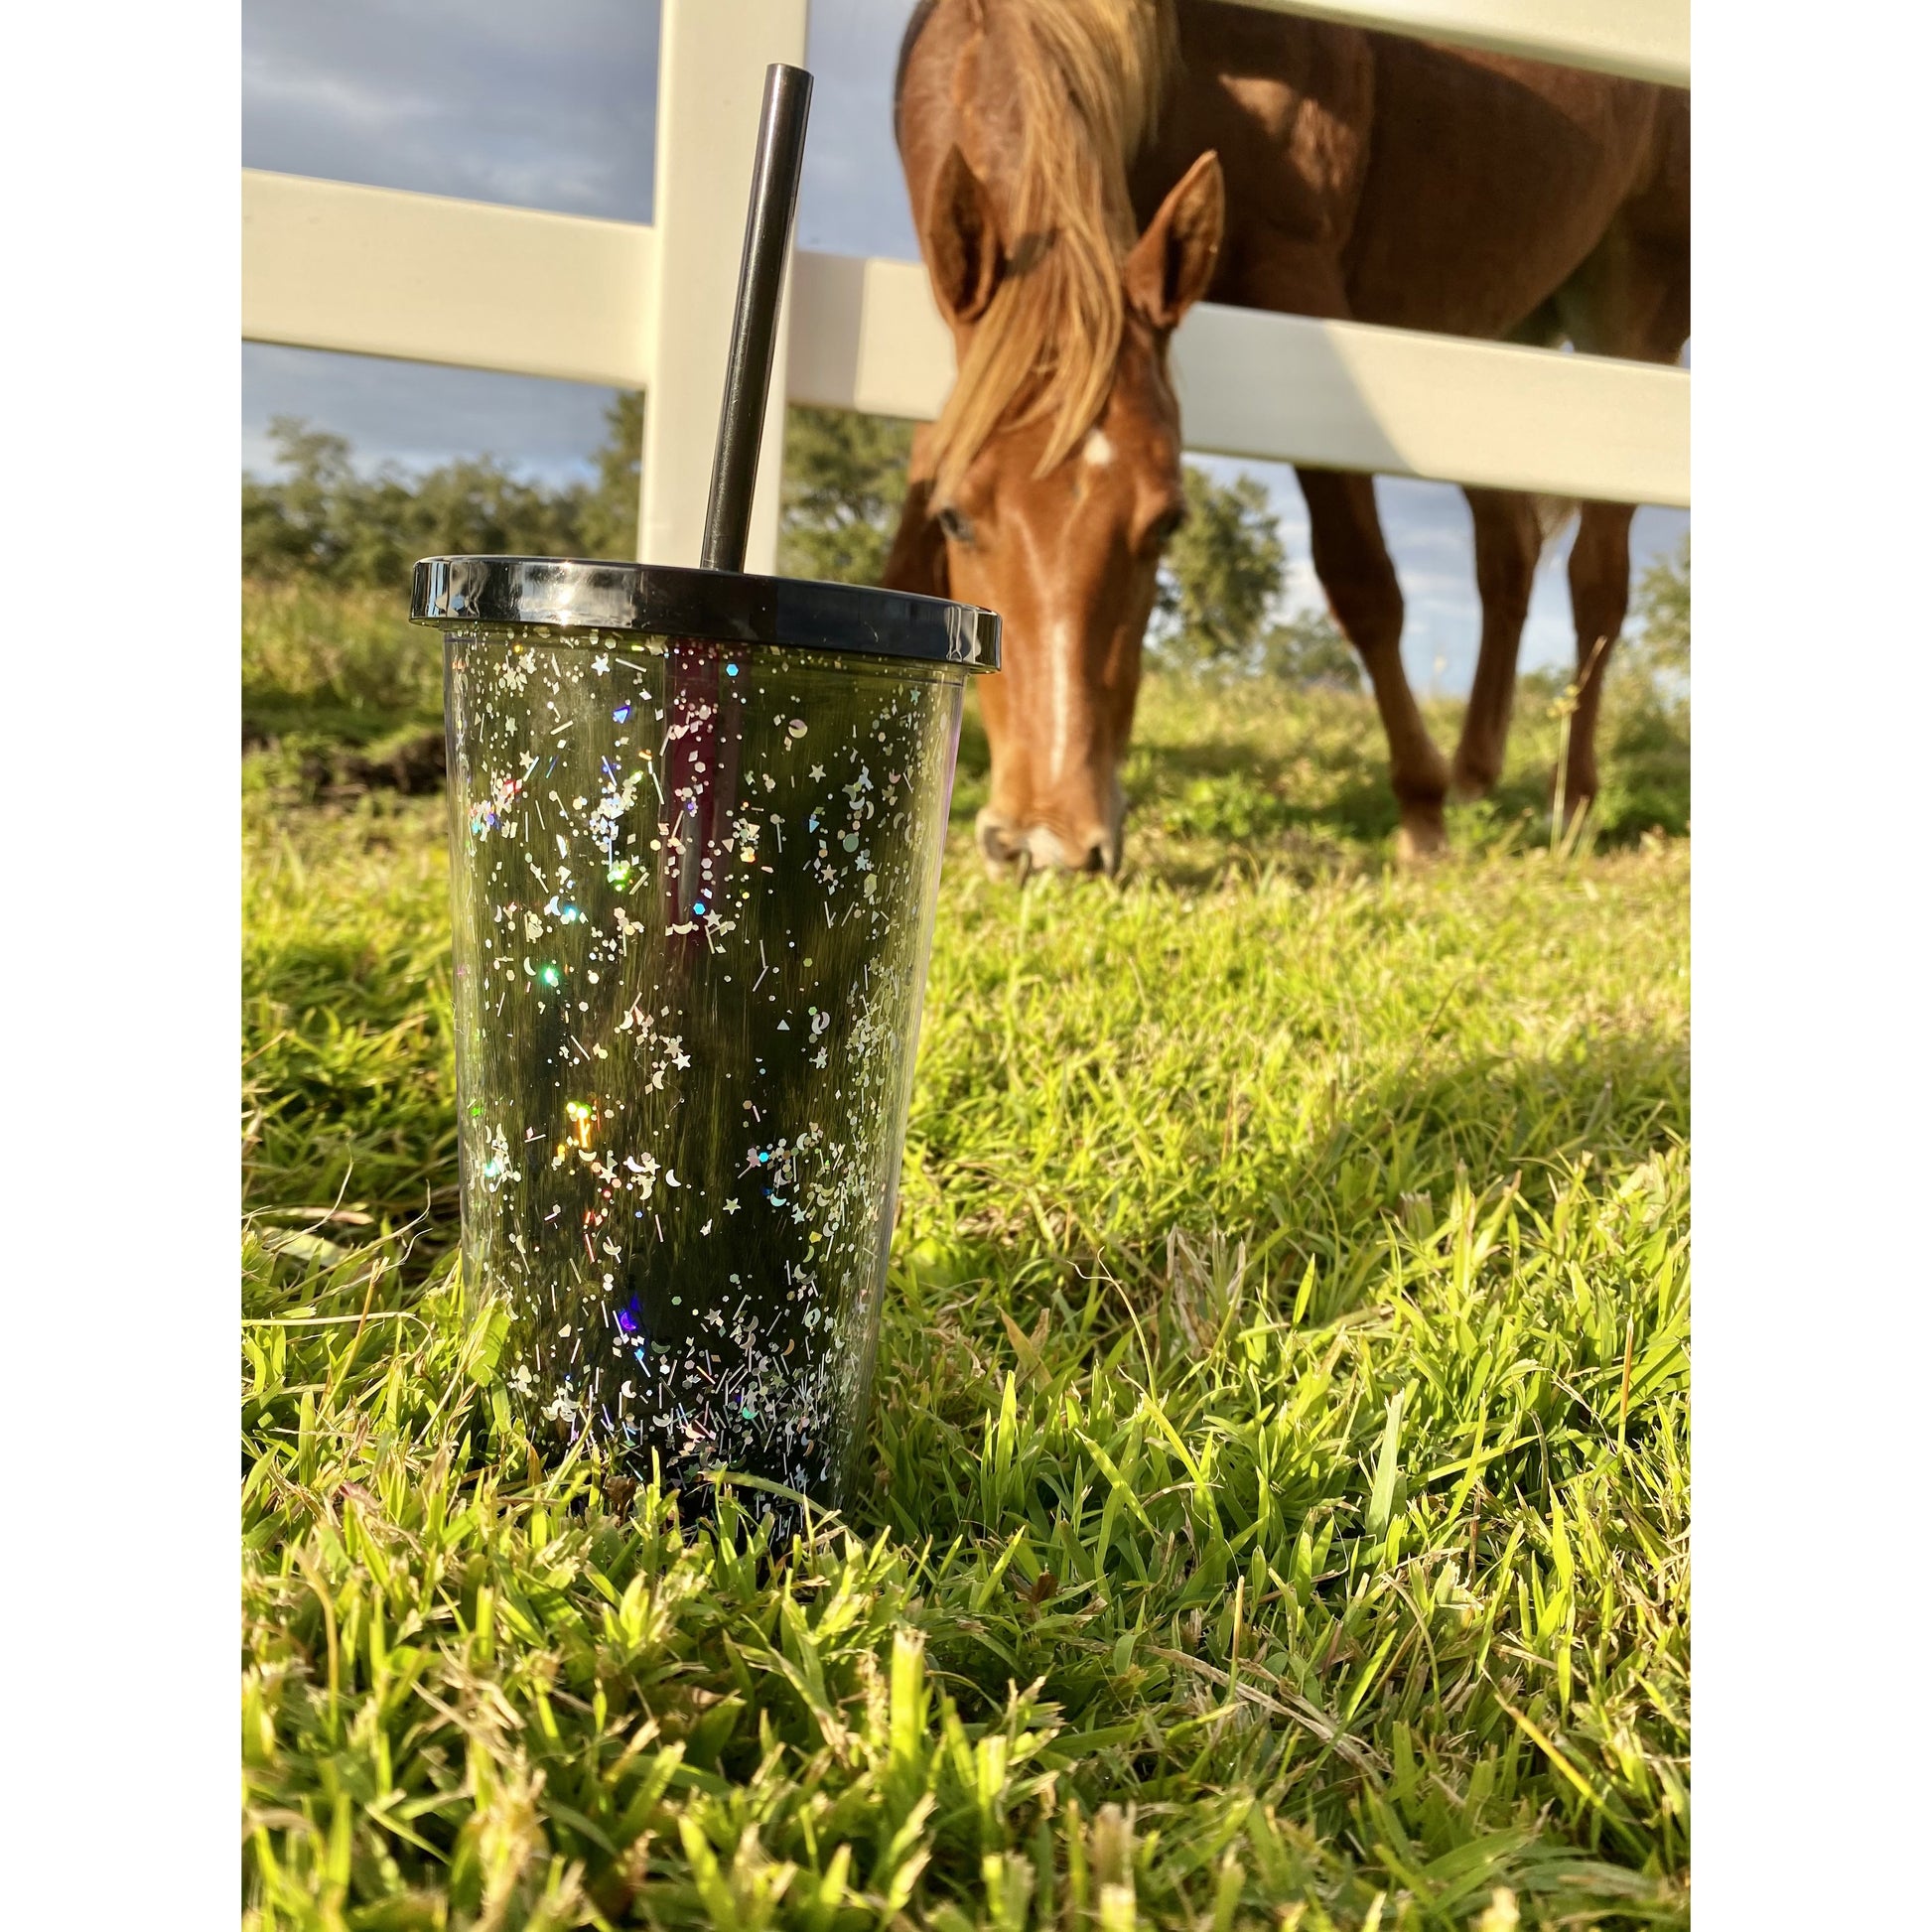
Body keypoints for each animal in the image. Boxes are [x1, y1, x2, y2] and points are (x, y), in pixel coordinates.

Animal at [885, 0, 1684, 869]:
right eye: (957, 519)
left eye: (1167, 524)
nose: (1048, 844)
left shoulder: (1297, 282)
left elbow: (1362, 580)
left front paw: (1421, 810)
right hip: (1503, 341)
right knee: (1508, 550)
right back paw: (1477, 773)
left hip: (1632, 314)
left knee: (1597, 579)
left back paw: (1570, 799)